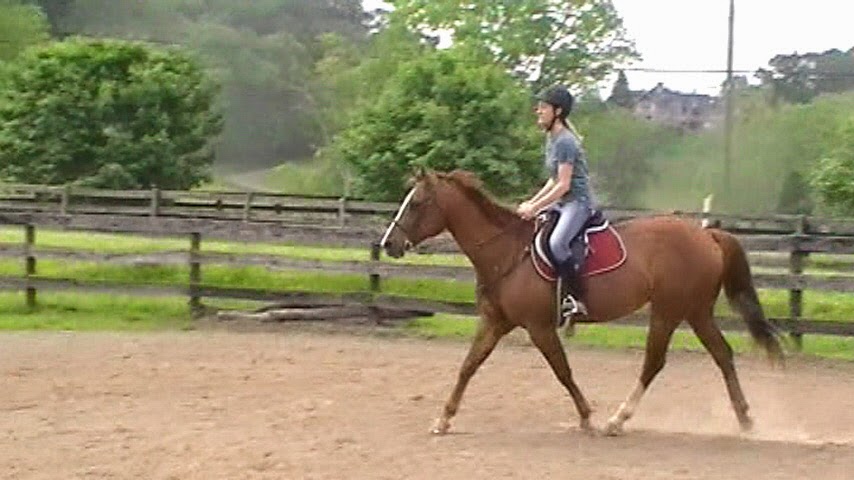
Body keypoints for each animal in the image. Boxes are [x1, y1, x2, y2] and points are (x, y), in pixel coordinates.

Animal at [384, 168, 784, 436]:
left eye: (416, 203)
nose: (389, 244)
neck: (508, 252)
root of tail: (707, 235)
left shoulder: (539, 327)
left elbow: (562, 370)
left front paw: (587, 417)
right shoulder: (495, 322)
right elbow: (468, 366)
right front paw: (443, 419)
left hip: (669, 311)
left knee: (654, 362)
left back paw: (617, 420)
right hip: (696, 311)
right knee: (722, 354)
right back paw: (746, 420)